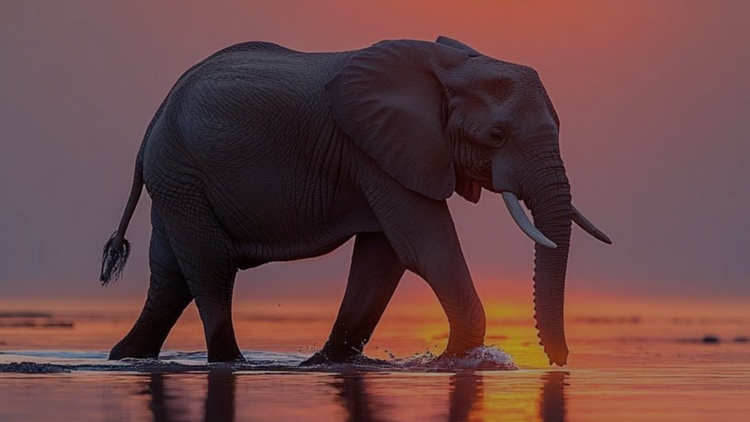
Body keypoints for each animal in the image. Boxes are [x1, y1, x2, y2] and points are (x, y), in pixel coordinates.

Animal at [100, 36, 610, 365]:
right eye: (496, 136)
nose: (561, 363)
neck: (451, 65)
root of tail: (155, 120)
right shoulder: (378, 151)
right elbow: (424, 248)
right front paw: (455, 361)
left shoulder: (385, 155)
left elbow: (382, 259)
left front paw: (326, 364)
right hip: (181, 173)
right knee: (211, 269)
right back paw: (230, 362)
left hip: (176, 181)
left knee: (171, 277)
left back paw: (125, 357)